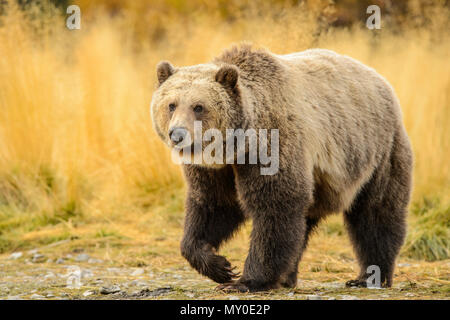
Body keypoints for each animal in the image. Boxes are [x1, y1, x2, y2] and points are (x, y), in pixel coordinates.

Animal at [149, 45, 414, 292]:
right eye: (171, 105)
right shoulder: (214, 170)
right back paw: (288, 277)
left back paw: (369, 276)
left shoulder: (273, 146)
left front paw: (244, 281)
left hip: (377, 151)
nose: (177, 134)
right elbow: (212, 205)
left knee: (376, 213)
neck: (238, 146)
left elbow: (276, 206)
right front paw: (219, 266)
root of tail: (380, 79)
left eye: (198, 107)